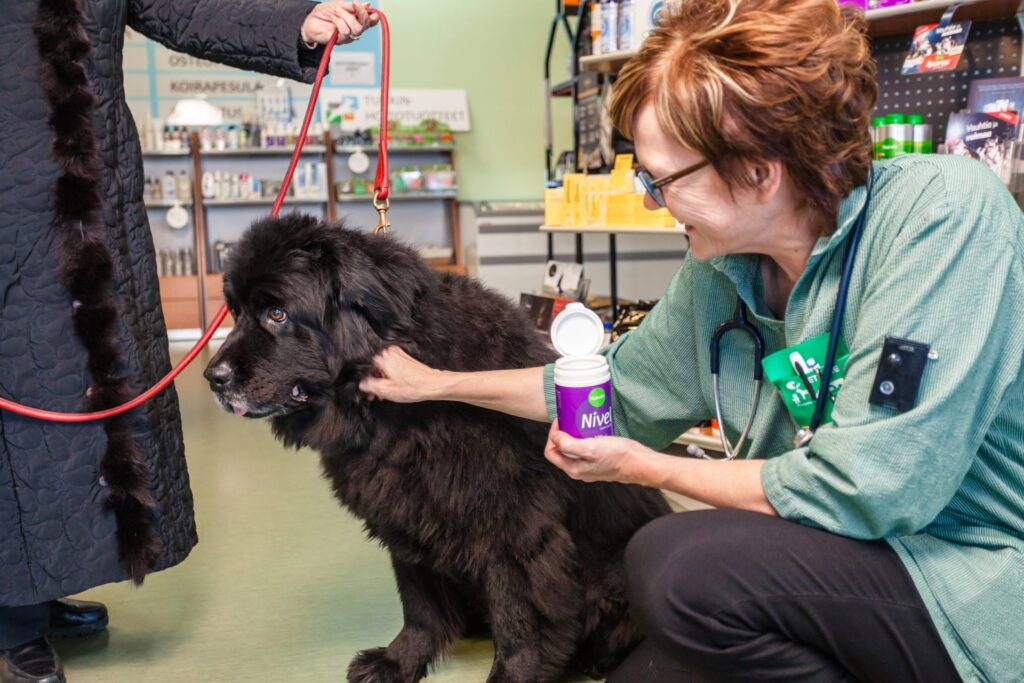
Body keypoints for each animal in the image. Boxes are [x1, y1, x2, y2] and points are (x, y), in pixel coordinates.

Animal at [205, 218, 671, 683]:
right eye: (236, 312)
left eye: (277, 313)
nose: (214, 376)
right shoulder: (406, 513)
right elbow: (419, 606)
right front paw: (398, 661)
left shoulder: (515, 530)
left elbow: (519, 620)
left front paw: (511, 676)